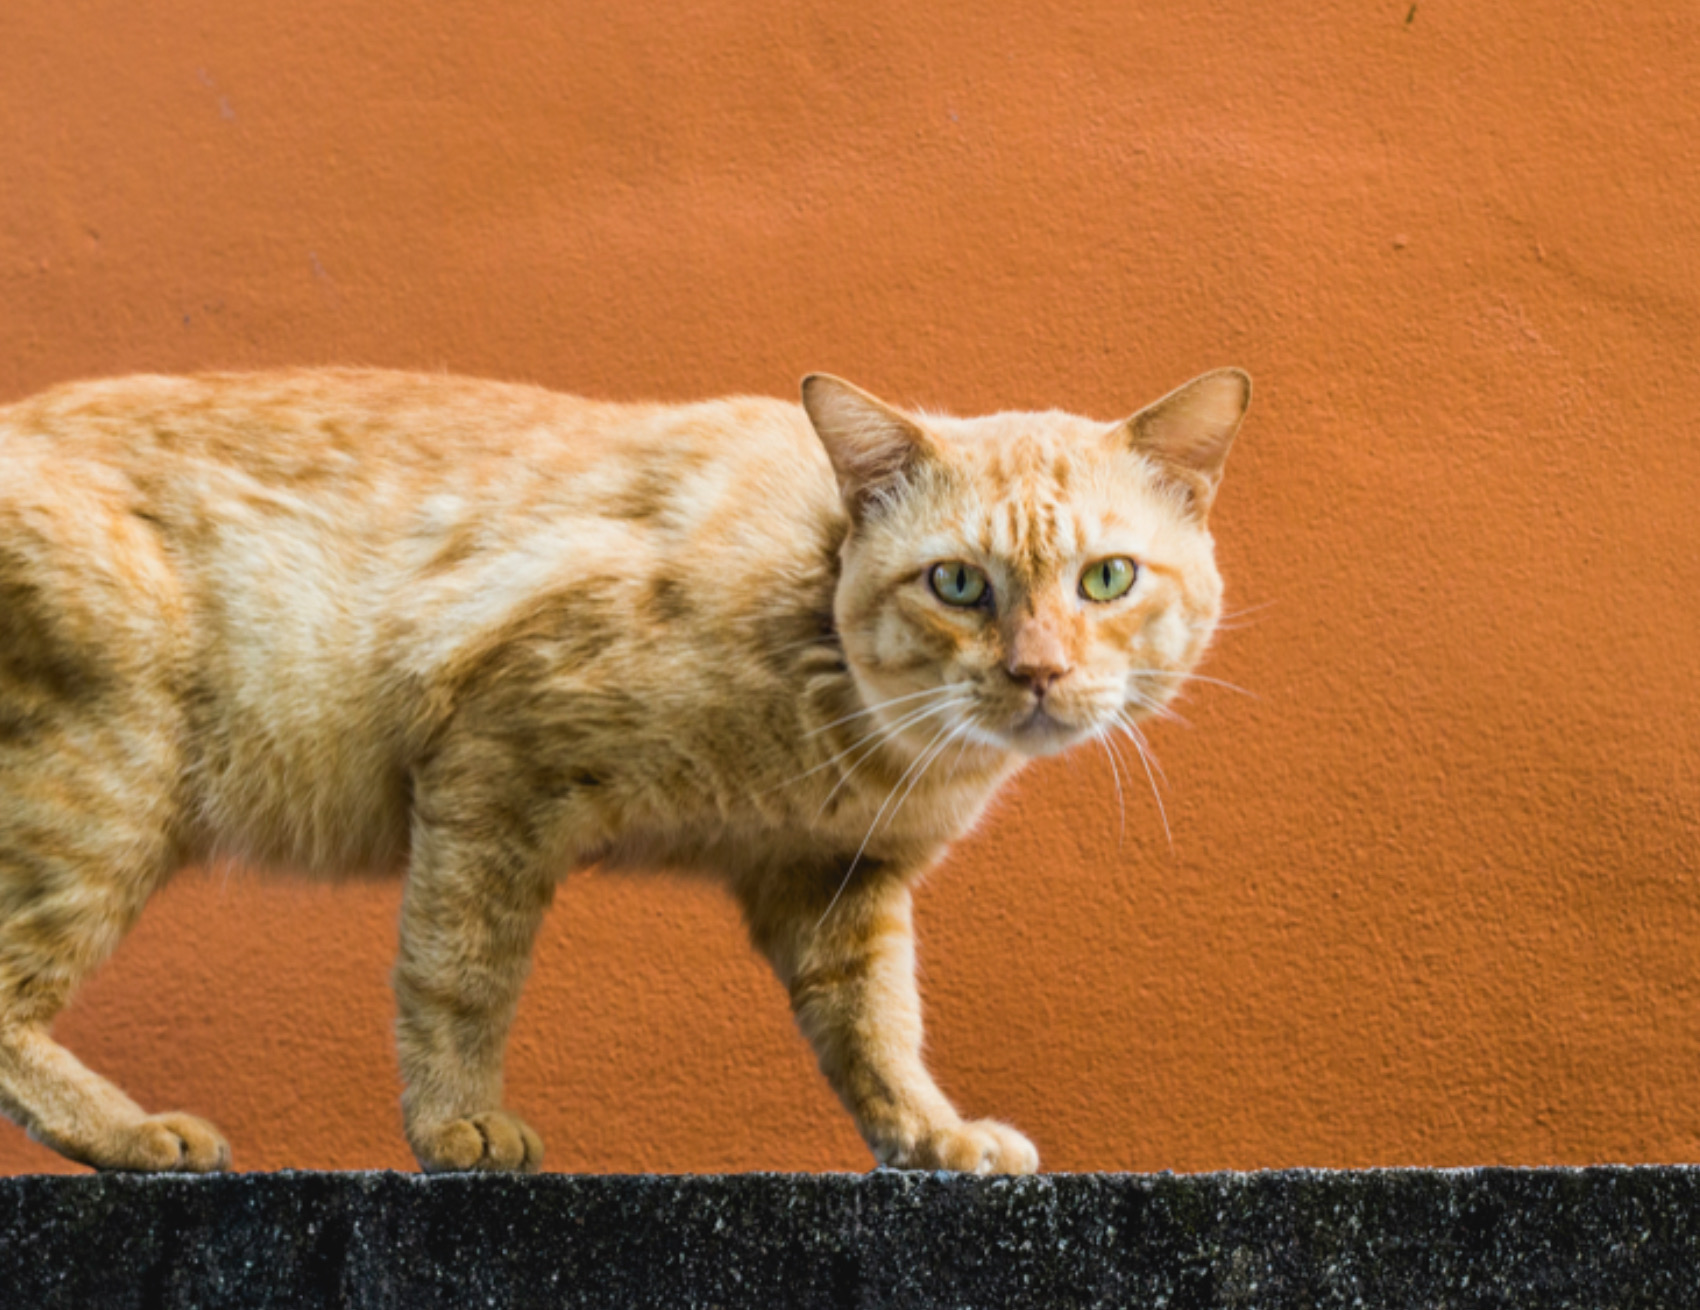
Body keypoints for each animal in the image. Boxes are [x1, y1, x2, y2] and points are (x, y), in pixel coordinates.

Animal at [0, 363, 1251, 1175]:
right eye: (956, 583)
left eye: (1104, 577)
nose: (1036, 671)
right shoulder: (493, 760)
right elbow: (459, 974)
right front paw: (457, 1126)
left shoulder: (836, 882)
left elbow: (879, 1026)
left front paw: (931, 1134)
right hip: (107, 788)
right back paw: (134, 1134)